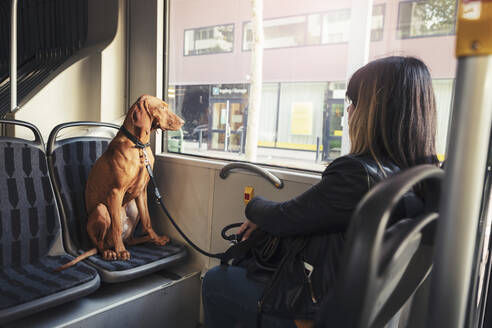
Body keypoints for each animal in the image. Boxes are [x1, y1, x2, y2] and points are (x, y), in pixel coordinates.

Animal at [55, 94, 183, 270]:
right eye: (162, 107)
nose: (183, 122)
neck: (138, 145)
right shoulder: (115, 192)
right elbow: (116, 226)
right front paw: (121, 251)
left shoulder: (142, 191)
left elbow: (148, 221)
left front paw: (156, 238)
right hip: (102, 209)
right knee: (101, 244)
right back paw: (110, 252)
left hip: (133, 208)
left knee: (129, 239)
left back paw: (145, 240)